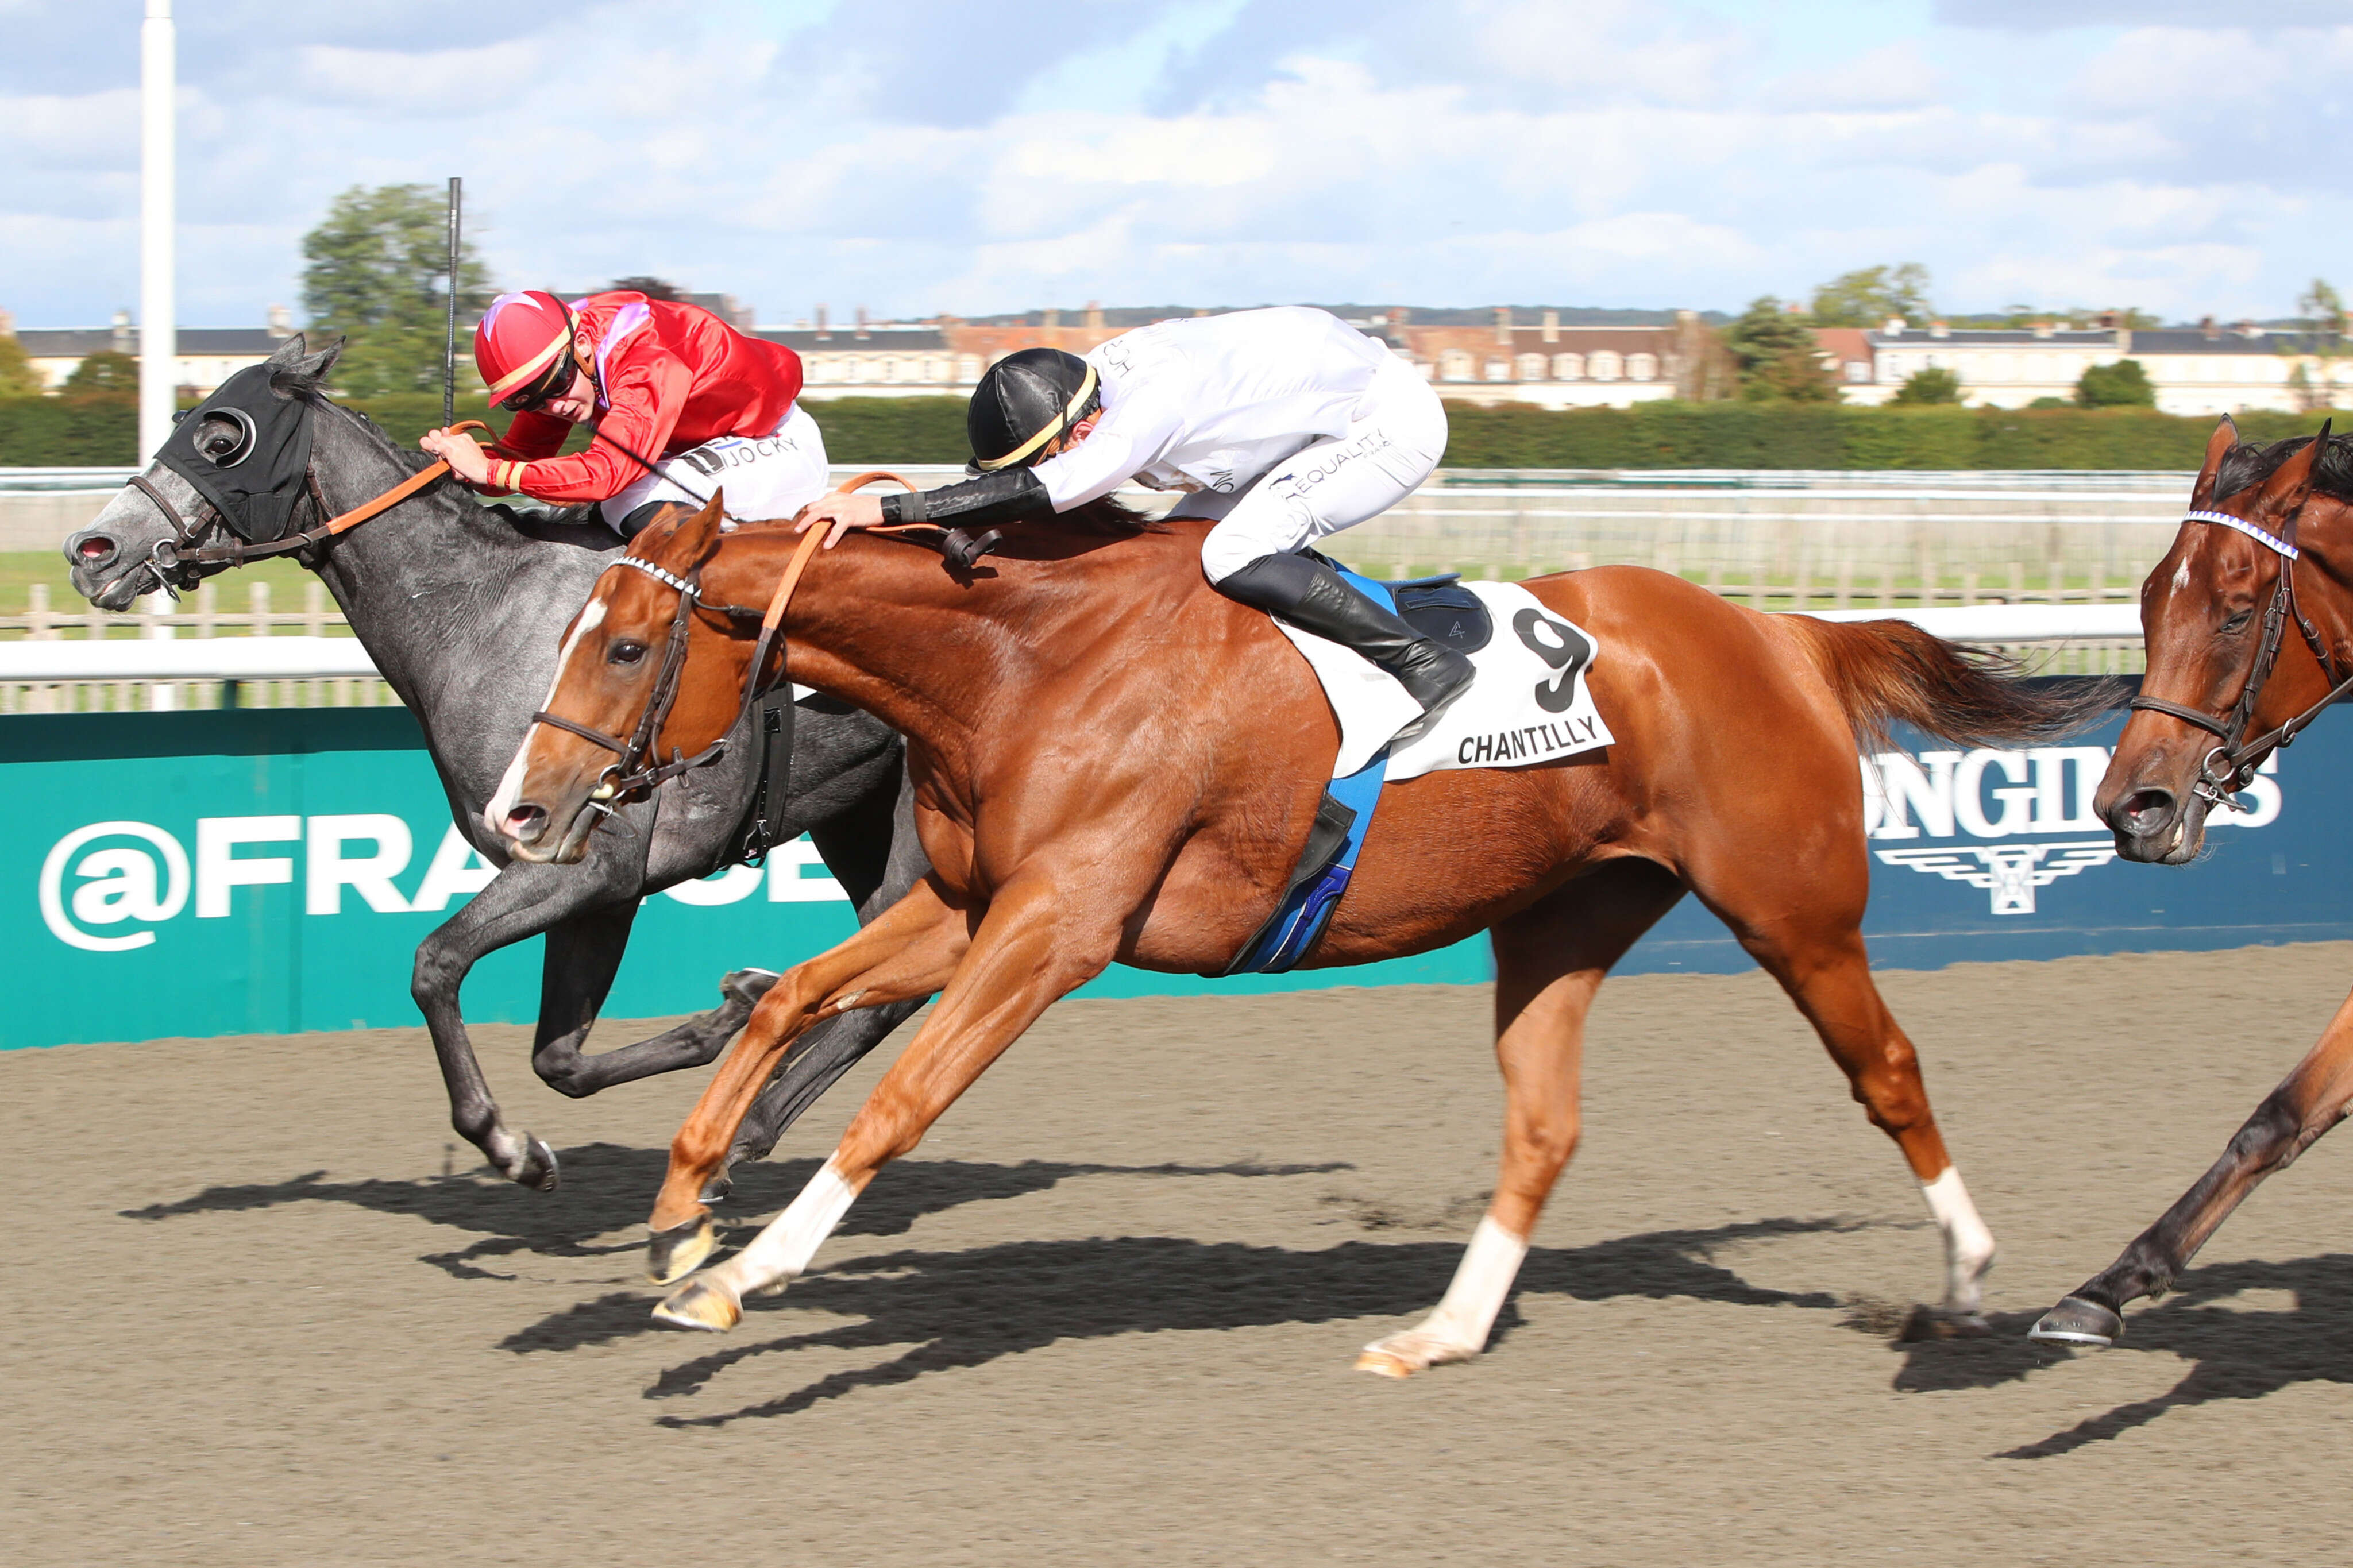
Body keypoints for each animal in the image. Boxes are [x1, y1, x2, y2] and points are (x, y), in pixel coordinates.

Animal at [64, 341, 927, 1189]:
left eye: (223, 438)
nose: (89, 550)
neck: (483, 619)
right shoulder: (600, 888)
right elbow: (560, 1059)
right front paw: (734, 1007)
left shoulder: (588, 866)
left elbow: (435, 963)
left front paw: (506, 1144)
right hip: (855, 818)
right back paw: (747, 1122)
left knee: (891, 986)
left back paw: (750, 1127)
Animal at [482, 486, 2099, 1373]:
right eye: (575, 634)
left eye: (627, 644)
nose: (516, 811)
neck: (1023, 660)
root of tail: (1782, 632)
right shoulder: (967, 908)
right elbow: (784, 1002)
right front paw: (683, 1213)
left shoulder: (1059, 927)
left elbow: (899, 1098)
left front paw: (745, 1273)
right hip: (1560, 916)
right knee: (1543, 1126)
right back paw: (1440, 1333)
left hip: (1791, 905)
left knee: (1886, 1071)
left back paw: (1967, 1282)